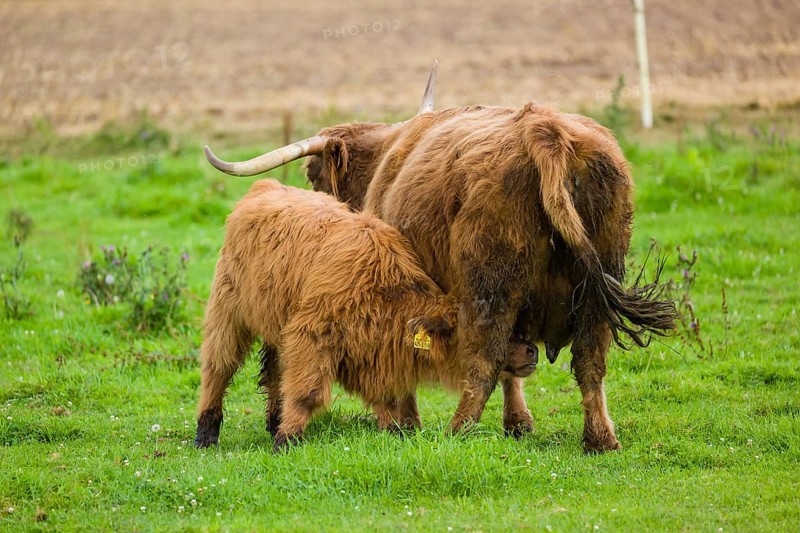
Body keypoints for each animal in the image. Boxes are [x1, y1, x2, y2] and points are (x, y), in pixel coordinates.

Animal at [194, 179, 538, 451]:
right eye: (488, 331)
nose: (531, 349)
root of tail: (265, 187)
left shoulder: (371, 353)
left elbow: (386, 398)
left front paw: (394, 433)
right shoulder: (311, 335)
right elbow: (307, 393)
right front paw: (287, 440)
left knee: (273, 372)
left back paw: (272, 422)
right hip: (227, 312)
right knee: (218, 368)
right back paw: (206, 433)